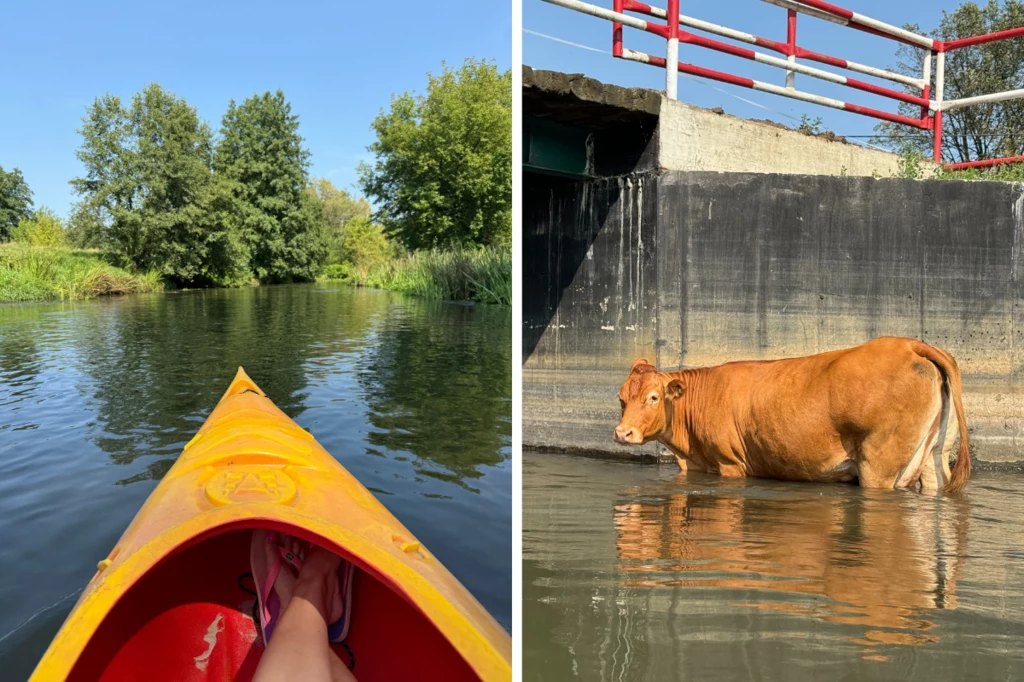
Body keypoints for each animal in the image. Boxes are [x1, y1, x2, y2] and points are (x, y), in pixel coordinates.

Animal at [610, 335, 970, 491]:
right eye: (621, 398)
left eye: (653, 397)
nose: (622, 432)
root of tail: (907, 343)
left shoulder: (729, 463)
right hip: (935, 453)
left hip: (879, 464)